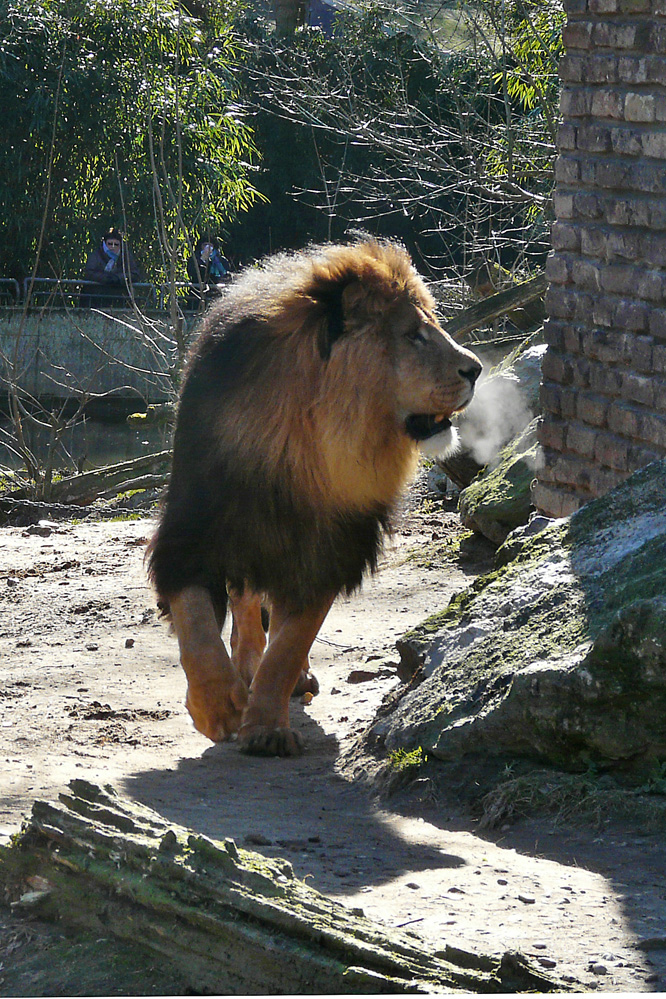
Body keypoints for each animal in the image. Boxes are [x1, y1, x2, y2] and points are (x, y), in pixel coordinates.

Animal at [148, 240, 480, 756]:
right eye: (413, 336)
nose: (477, 370)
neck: (307, 447)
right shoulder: (194, 533)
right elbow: (197, 624)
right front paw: (217, 706)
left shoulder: (328, 550)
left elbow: (289, 646)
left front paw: (266, 727)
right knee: (246, 605)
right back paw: (243, 670)